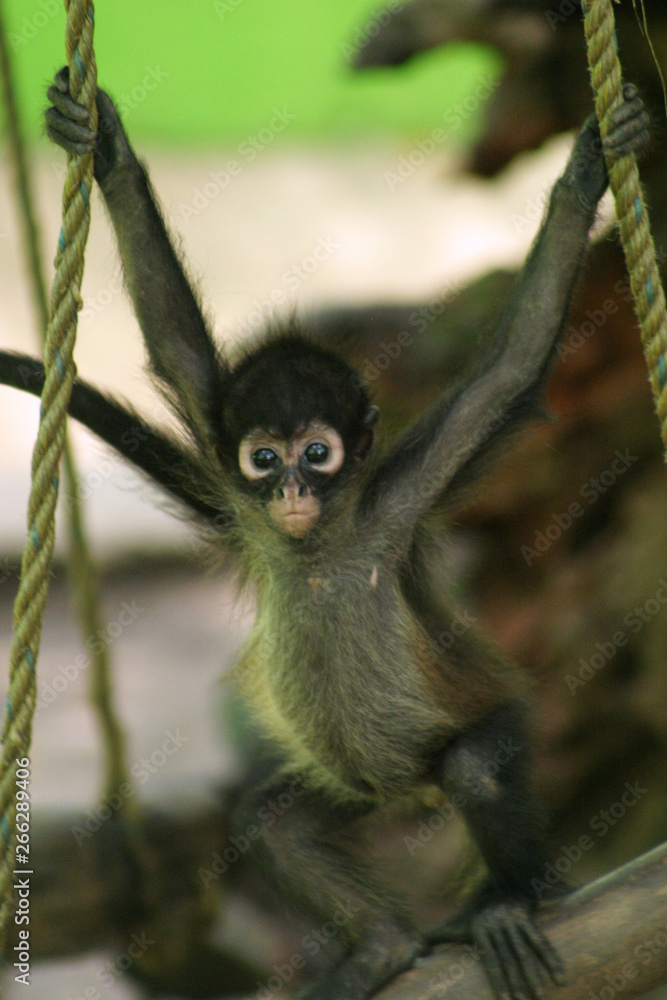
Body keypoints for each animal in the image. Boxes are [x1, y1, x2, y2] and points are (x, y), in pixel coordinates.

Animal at [0, 68, 649, 999]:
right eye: (264, 457)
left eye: (317, 452)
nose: (293, 490)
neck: (315, 548)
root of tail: (408, 794)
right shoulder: (239, 498)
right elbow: (178, 353)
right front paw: (108, 151)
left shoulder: (399, 498)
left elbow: (512, 368)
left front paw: (585, 170)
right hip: (359, 791)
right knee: (271, 819)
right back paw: (381, 945)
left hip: (474, 733)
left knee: (473, 768)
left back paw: (512, 900)